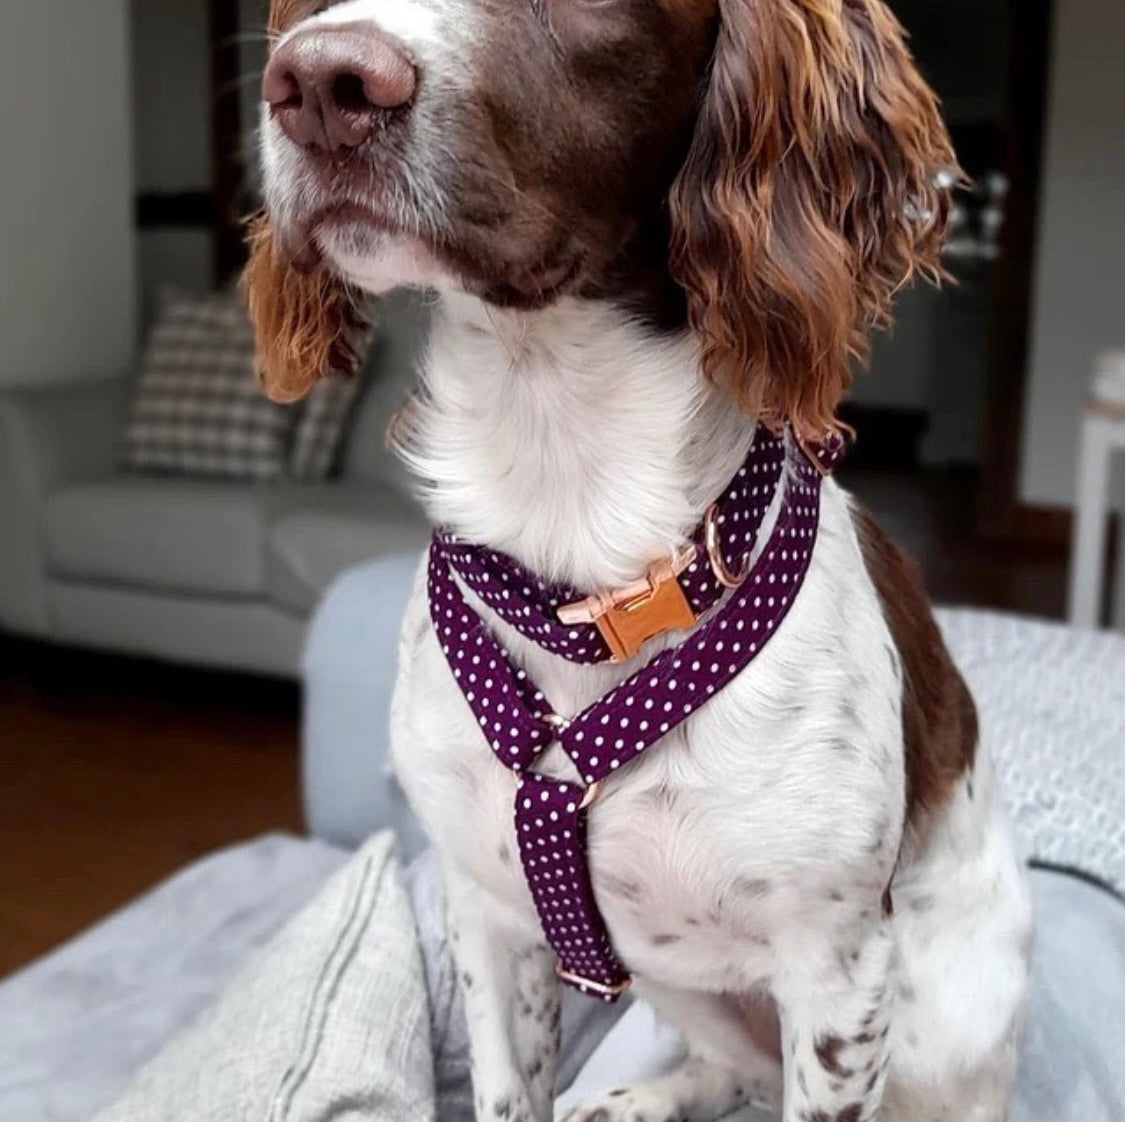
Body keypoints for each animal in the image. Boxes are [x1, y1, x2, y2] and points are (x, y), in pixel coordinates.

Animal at [250, 2, 1030, 1120]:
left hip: (939, 1026)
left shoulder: (837, 971)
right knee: (731, 1066)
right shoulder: (484, 913)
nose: (318, 85)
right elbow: (506, 1093)